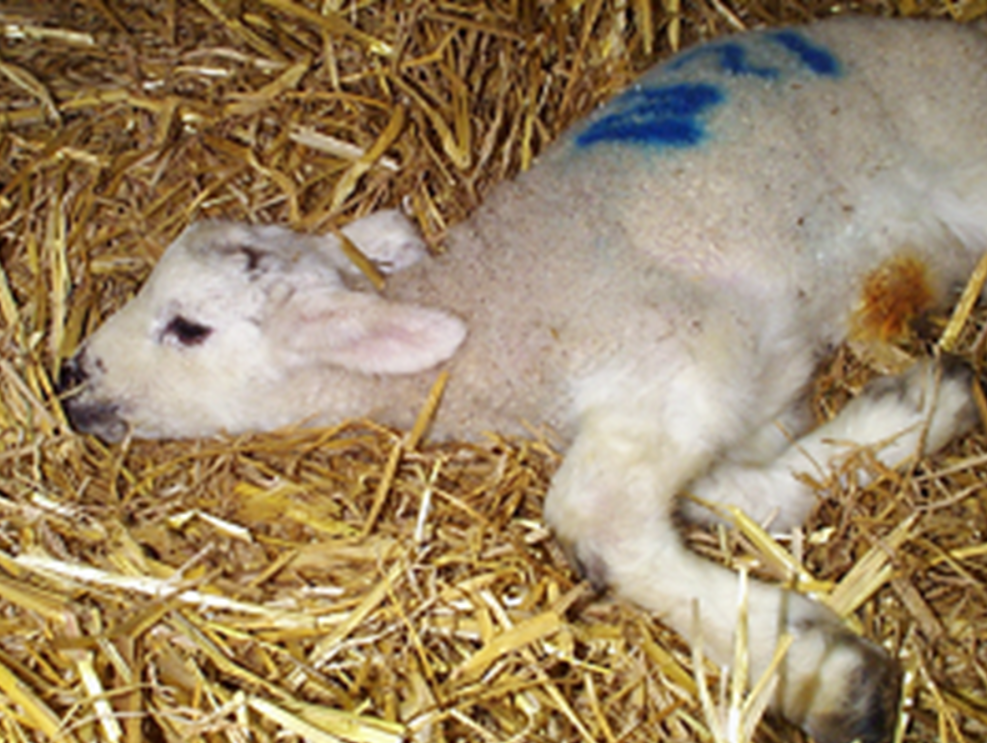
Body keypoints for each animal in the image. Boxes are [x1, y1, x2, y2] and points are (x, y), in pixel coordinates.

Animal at [60, 16, 987, 743]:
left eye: (186, 327)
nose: (71, 377)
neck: (501, 318)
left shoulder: (682, 357)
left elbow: (595, 517)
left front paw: (820, 672)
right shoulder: (748, 393)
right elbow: (753, 486)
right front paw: (912, 408)